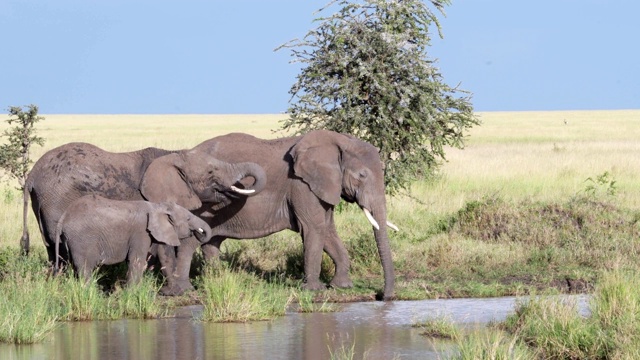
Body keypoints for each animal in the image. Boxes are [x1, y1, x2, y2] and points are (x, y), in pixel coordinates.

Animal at [53, 194, 212, 286]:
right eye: (188, 218)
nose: (199, 232)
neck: (156, 206)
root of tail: (63, 217)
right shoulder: (141, 233)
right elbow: (136, 261)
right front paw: (133, 292)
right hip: (81, 239)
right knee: (85, 267)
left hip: (70, 240)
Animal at [172, 129, 398, 300]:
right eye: (362, 175)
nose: (383, 296)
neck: (338, 141)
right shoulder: (301, 185)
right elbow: (314, 228)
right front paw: (314, 290)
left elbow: (327, 230)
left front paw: (341, 286)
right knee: (191, 240)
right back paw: (184, 289)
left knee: (211, 243)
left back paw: (216, 280)